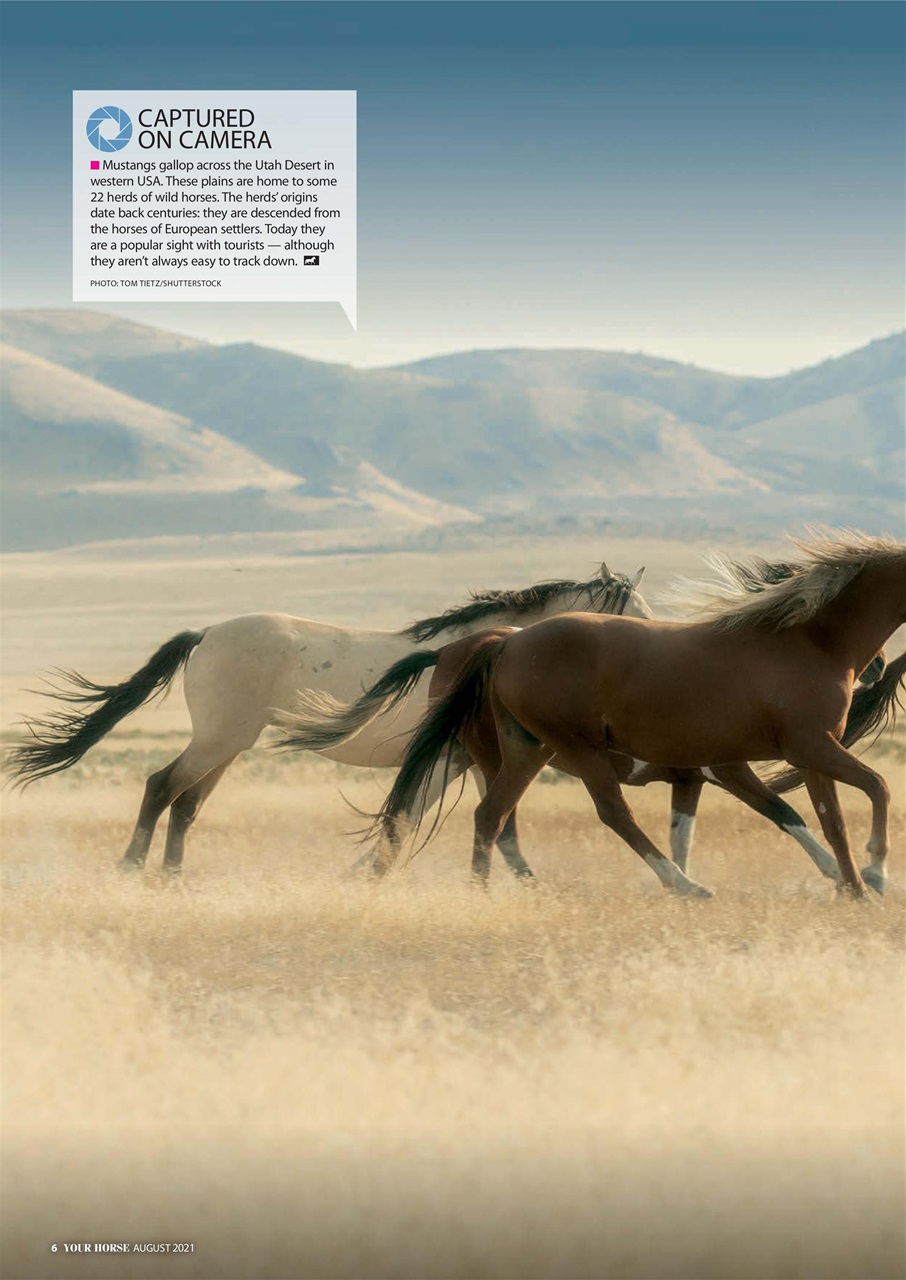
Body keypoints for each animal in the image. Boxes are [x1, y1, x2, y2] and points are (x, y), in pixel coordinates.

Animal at [5, 562, 650, 872]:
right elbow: (408, 820)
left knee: (186, 803)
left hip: (228, 746)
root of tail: (207, 633)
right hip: (217, 740)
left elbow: (436, 820)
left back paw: (171, 879)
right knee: (161, 787)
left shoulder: (462, 762)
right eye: (634, 615)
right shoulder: (449, 760)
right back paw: (133, 869)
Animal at [347, 533, 904, 899]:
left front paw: (852, 886)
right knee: (611, 813)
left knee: (492, 816)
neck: (807, 642)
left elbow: (820, 819)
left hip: (525, 749)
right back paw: (682, 885)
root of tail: (506, 643)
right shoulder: (794, 751)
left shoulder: (784, 759)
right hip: (575, 748)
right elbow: (870, 790)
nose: (879, 668)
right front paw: (874, 876)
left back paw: (481, 894)